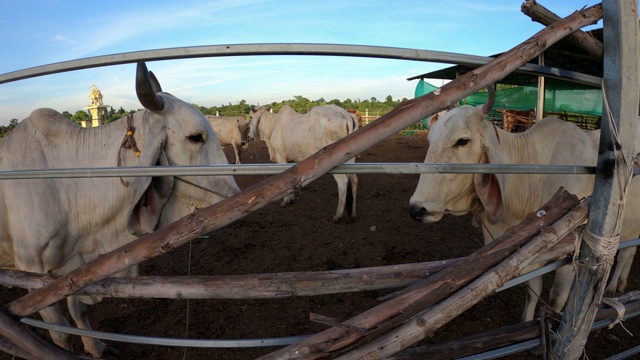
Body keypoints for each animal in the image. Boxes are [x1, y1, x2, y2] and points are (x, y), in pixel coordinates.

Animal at [0, 62, 240, 358]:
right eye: (196, 137)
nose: (235, 195)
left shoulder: (71, 266)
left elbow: (78, 311)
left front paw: (95, 346)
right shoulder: (31, 268)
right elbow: (60, 334)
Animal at [410, 88, 640, 324]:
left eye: (462, 141)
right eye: (430, 139)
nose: (417, 209)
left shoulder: (573, 254)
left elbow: (556, 299)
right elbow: (532, 291)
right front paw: (527, 321)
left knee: (625, 253)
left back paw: (611, 288)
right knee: (629, 251)